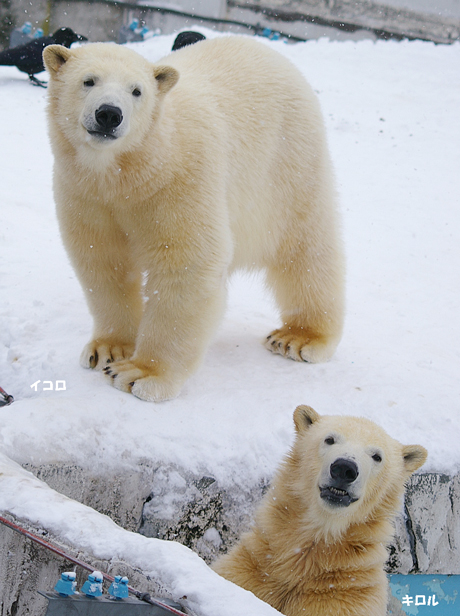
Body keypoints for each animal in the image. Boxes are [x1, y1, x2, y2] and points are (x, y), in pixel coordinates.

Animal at [44, 36, 344, 402]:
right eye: (88, 80)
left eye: (137, 91)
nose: (109, 114)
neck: (129, 171)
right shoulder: (86, 194)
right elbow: (102, 260)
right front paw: (108, 349)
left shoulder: (179, 179)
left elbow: (186, 262)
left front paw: (140, 373)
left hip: (288, 162)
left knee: (306, 247)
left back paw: (299, 337)